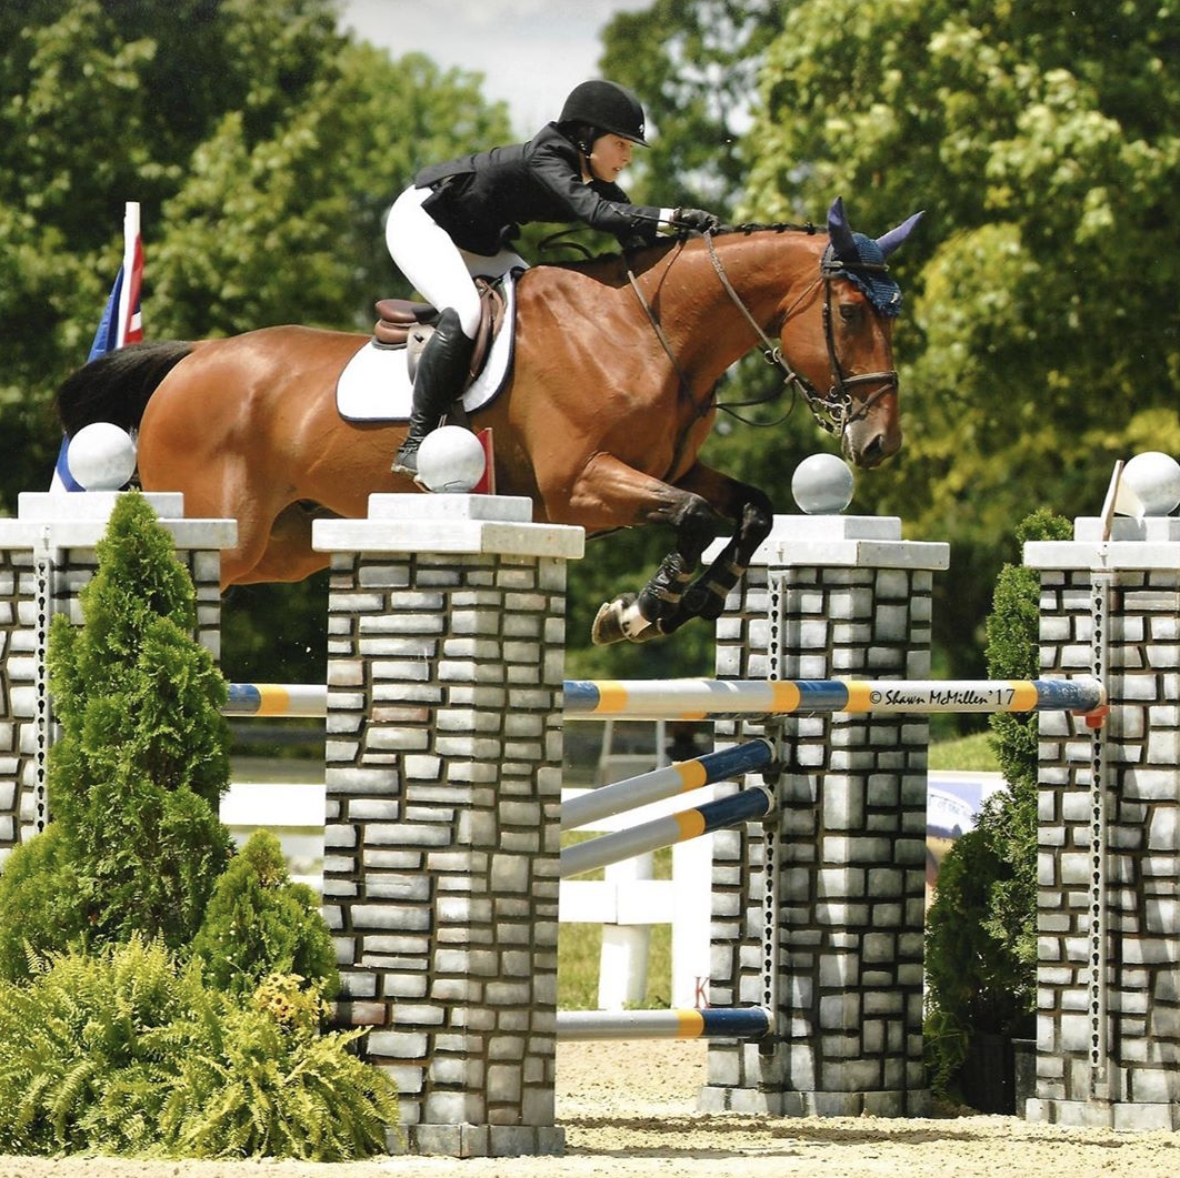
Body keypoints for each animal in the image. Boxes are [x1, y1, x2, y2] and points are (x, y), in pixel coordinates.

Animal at [53, 200, 920, 646]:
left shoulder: (668, 468)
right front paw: (641, 610)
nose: (879, 443)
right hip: (222, 525)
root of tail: (193, 361)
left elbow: (751, 511)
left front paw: (691, 600)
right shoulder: (579, 488)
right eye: (850, 312)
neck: (648, 330)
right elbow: (698, 515)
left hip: (285, 545)